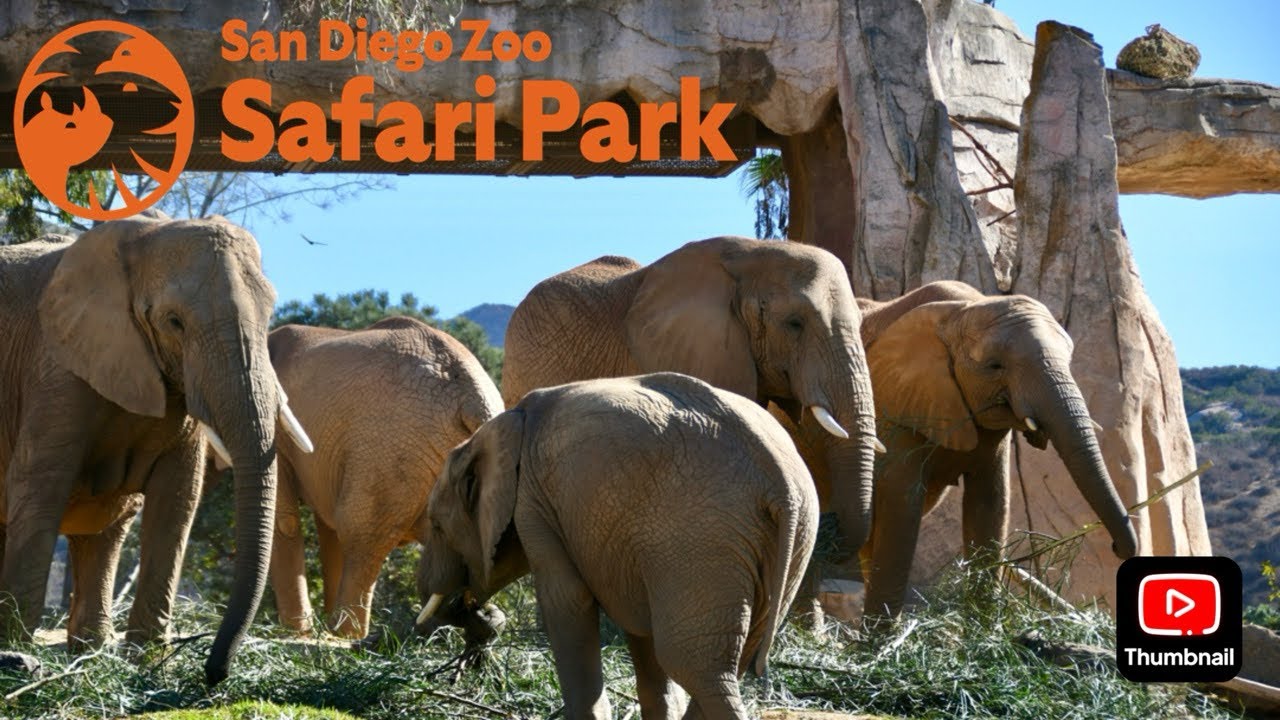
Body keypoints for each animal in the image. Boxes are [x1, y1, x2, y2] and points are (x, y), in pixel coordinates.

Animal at [0, 216, 312, 685]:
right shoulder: (54, 368)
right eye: (173, 321)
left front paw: (146, 666)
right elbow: (39, 491)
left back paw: (91, 655)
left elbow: (178, 496)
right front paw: (17, 656)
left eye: (270, 314)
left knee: (105, 530)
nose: (214, 673)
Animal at [265, 317, 503, 639]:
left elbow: (286, 520)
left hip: (389, 448)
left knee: (359, 534)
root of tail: (474, 399)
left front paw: (294, 633)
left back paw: (342, 636)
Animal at [418, 373, 819, 720]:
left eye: (436, 525)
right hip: (788, 540)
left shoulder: (534, 501)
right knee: (733, 659)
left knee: (697, 666)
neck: (496, 429)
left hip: (701, 538)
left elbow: (567, 601)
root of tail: (780, 480)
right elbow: (641, 633)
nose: (481, 612)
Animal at [781, 280, 1139, 618]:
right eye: (995, 366)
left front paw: (984, 631)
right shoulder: (894, 405)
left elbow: (989, 503)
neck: (965, 308)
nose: (1116, 548)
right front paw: (877, 642)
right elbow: (901, 505)